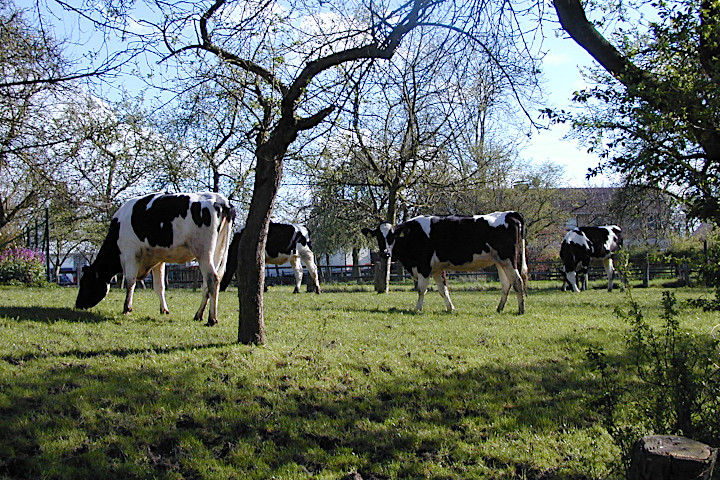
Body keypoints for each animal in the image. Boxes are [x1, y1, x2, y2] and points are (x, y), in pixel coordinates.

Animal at [74, 191, 235, 326]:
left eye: (86, 282)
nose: (77, 304)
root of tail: (219, 199)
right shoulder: (158, 259)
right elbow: (159, 286)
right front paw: (164, 310)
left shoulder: (130, 254)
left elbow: (130, 282)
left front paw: (127, 308)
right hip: (215, 252)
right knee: (207, 284)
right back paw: (198, 314)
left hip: (204, 253)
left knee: (212, 279)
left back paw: (212, 319)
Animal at [362, 214, 524, 316]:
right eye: (378, 236)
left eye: (392, 236)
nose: (385, 253)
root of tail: (510, 214)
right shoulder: (436, 269)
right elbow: (443, 290)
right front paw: (450, 308)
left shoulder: (424, 266)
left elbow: (421, 290)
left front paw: (417, 309)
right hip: (500, 262)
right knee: (506, 285)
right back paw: (499, 308)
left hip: (509, 260)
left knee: (518, 281)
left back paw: (521, 310)